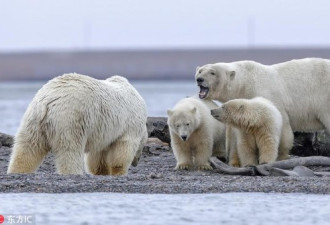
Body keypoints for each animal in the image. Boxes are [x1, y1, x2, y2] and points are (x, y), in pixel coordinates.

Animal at [7, 73, 147, 175]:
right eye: (142, 147)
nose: (136, 162)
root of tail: (47, 101)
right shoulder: (131, 125)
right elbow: (122, 150)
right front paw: (119, 171)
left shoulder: (103, 130)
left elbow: (97, 156)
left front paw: (101, 171)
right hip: (70, 119)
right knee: (70, 150)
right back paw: (73, 172)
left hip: (33, 120)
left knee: (27, 148)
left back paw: (17, 171)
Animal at [195, 58, 330, 160]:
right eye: (200, 71)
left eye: (212, 72)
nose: (199, 79)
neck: (246, 81)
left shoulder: (268, 96)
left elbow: (281, 124)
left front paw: (280, 155)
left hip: (324, 98)